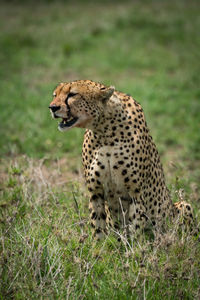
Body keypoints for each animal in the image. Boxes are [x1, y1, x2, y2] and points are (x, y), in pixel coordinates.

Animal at [48, 79, 194, 239]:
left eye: (72, 94)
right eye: (55, 95)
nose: (52, 107)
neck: (104, 131)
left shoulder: (136, 194)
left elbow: (136, 230)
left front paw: (135, 245)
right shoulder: (95, 192)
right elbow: (98, 227)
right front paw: (99, 245)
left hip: (183, 206)